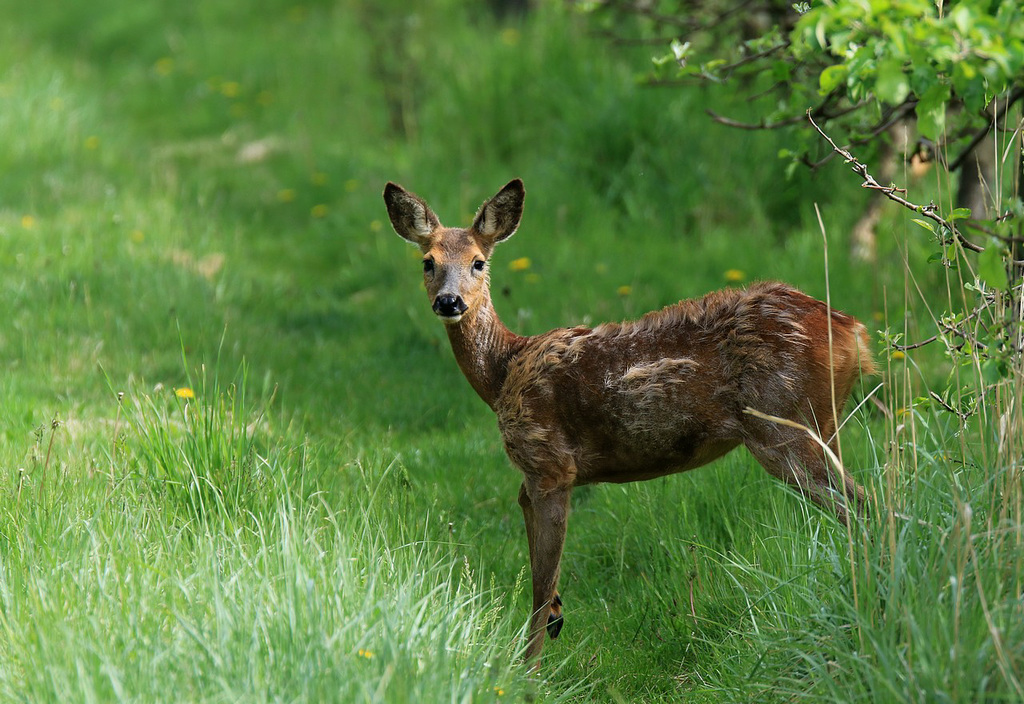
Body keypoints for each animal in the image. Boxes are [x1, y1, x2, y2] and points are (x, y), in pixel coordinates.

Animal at [380, 177, 876, 667]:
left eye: (478, 262)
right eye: (428, 262)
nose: (449, 301)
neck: (504, 371)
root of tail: (854, 332)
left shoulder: (550, 464)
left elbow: (539, 586)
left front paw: (526, 671)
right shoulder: (531, 477)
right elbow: (539, 566)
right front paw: (554, 623)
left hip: (784, 425)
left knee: (866, 506)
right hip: (822, 424)